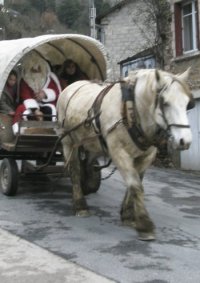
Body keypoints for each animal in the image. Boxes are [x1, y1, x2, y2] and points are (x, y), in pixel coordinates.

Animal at [57, 68, 195, 240]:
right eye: (165, 103)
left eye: (187, 104)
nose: (185, 141)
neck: (131, 109)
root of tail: (70, 87)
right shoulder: (118, 152)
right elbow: (135, 184)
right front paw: (144, 224)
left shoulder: (146, 155)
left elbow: (136, 182)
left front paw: (128, 215)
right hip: (68, 141)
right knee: (74, 170)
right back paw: (80, 205)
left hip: (90, 144)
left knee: (87, 164)